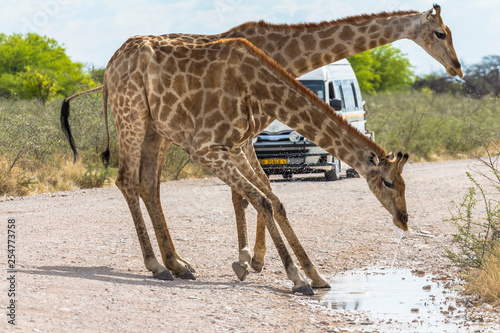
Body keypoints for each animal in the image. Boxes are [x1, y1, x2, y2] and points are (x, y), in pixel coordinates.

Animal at [60, 4, 462, 282]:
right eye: (440, 33)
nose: (457, 67)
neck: (287, 54)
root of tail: (109, 68)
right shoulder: (242, 136)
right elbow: (253, 194)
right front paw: (250, 260)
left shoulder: (242, 137)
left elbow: (264, 193)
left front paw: (257, 260)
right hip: (134, 117)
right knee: (129, 180)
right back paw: (158, 264)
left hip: (155, 129)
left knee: (148, 183)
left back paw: (177, 262)